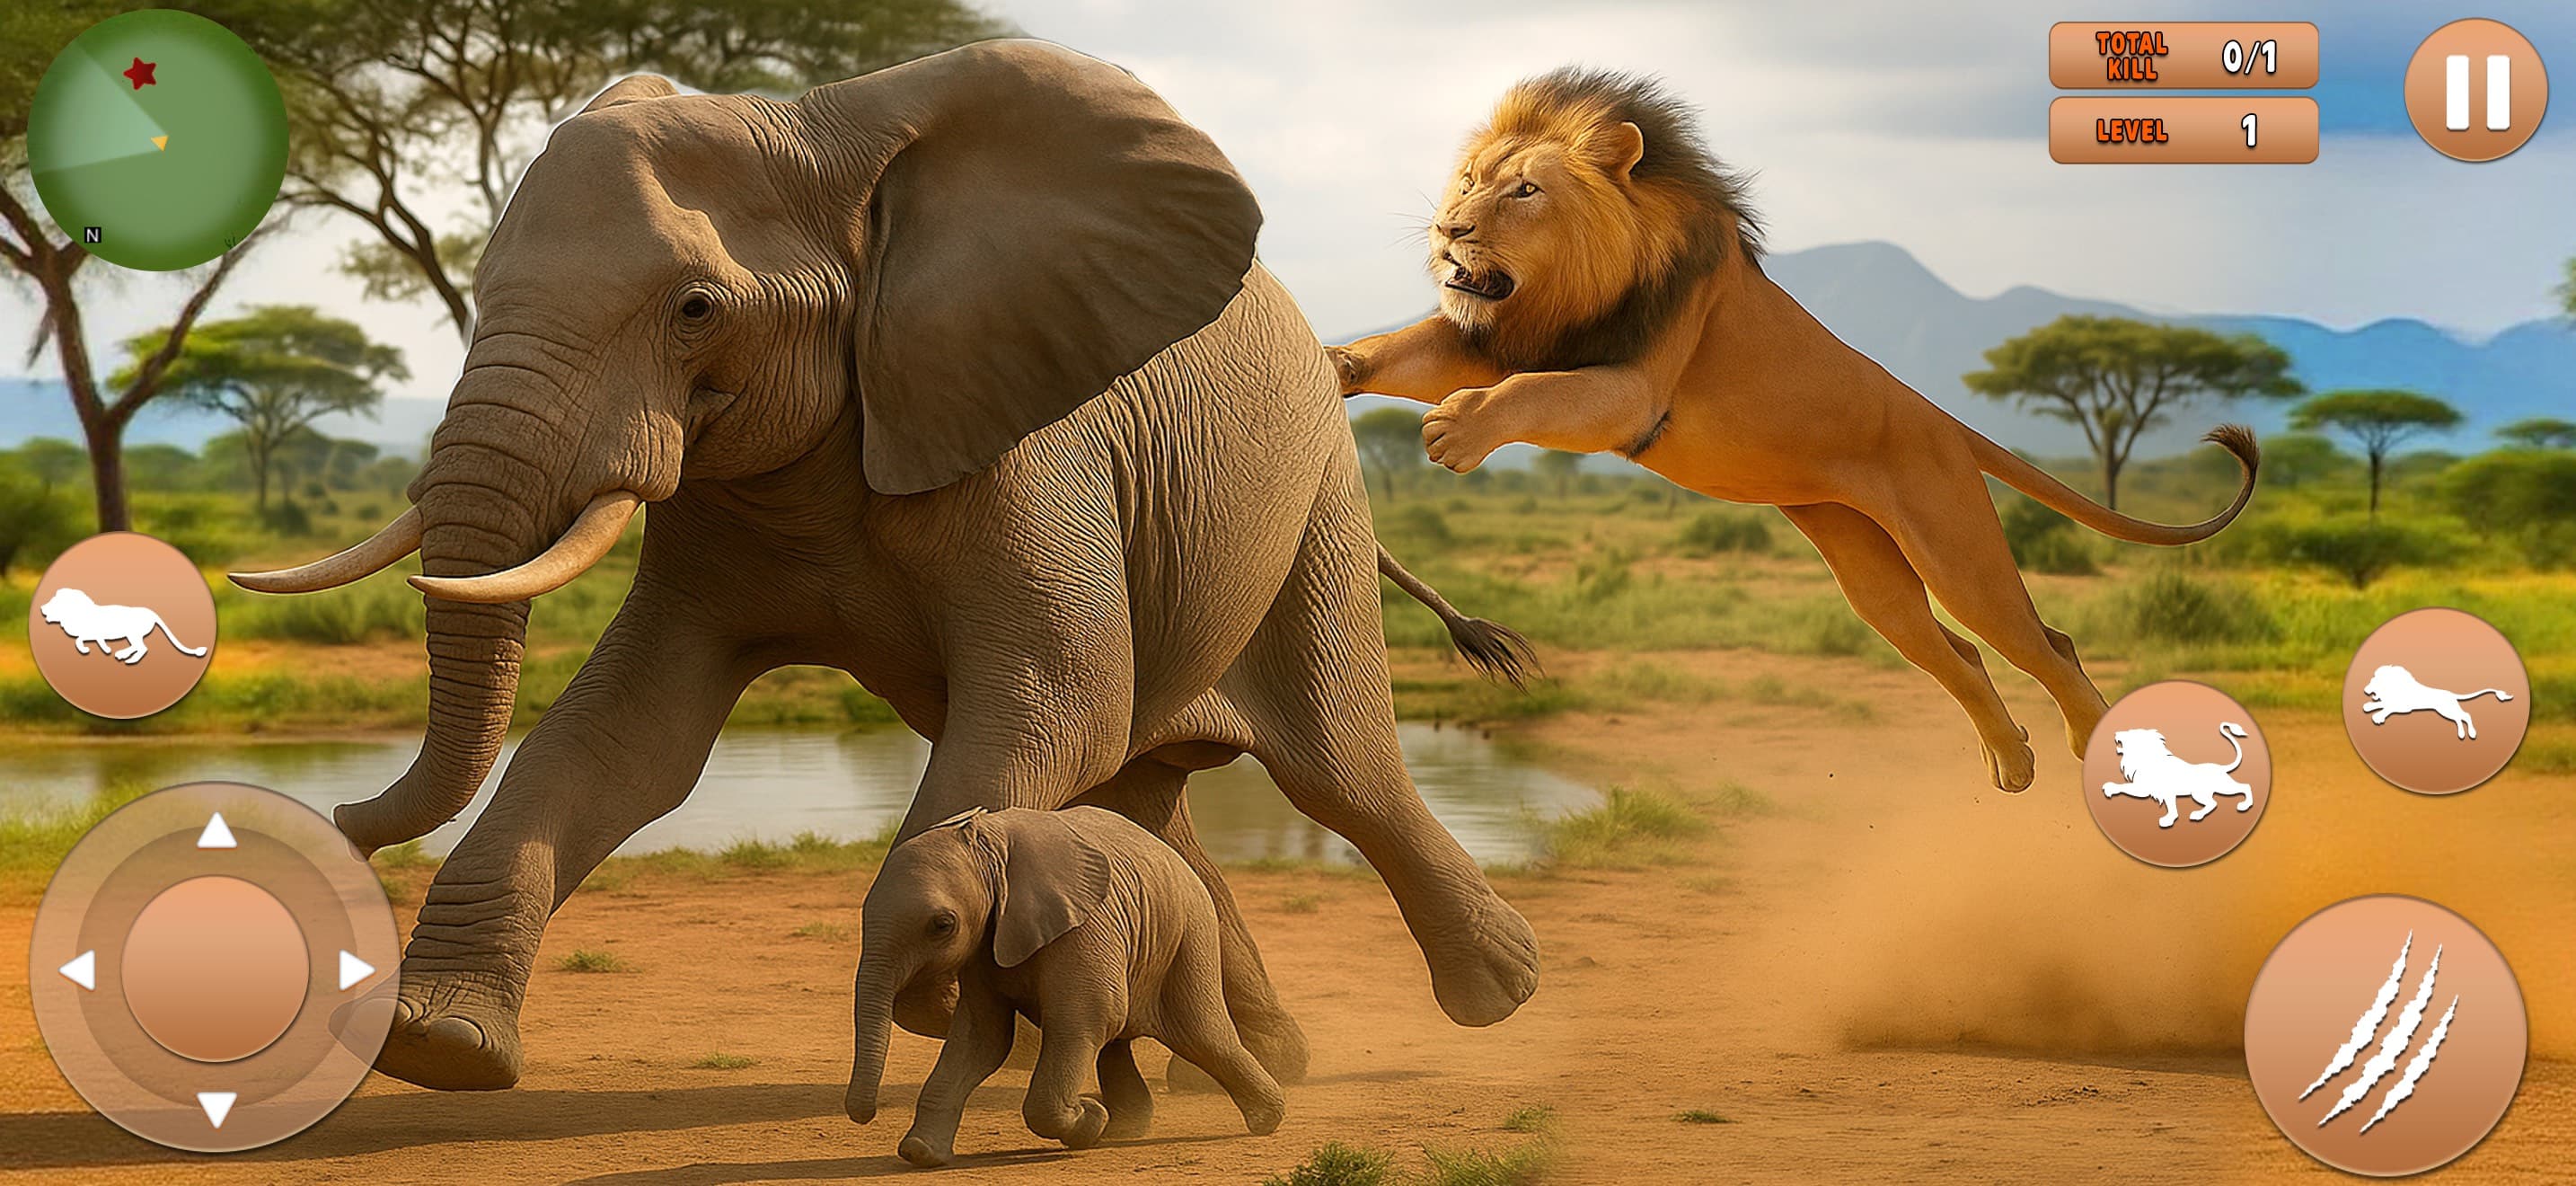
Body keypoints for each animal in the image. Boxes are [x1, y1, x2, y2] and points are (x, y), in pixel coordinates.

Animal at [38, 588, 210, 666]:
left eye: (55, 602)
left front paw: (91, 649)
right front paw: (105, 649)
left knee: (142, 648)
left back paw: (129, 659)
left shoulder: (93, 633)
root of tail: (151, 613)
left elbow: (79, 640)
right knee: (138, 647)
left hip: (133, 634)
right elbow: (83, 639)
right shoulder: (93, 634)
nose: (41, 608)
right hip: (131, 635)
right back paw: (122, 654)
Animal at [1329, 68, 2261, 792]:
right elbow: (1401, 350)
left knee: (2042, 640)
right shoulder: (1493, 338)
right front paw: (1335, 365)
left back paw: (2092, 749)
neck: (1568, 287)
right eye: (1467, 180)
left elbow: (1530, 395)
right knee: (1955, 651)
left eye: (1525, 190)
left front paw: (1457, 431)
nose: (1448, 229)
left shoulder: (1632, 389)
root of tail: (1937, 416)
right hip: (1863, 565)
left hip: (1955, 546)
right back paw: (2012, 761)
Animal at [2100, 723, 2255, 828]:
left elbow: (2125, 787)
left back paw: (2243, 806)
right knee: (2215, 802)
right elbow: (2171, 807)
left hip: (2217, 788)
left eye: (2131, 734)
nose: (2116, 733)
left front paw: (2110, 788)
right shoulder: (2157, 791)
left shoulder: (2148, 789)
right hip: (2203, 793)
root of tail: (2220, 768)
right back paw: (2198, 815)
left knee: (2244, 787)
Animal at [2361, 664, 2513, 740]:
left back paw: (2472, 734)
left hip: (2446, 710)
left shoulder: (2404, 707)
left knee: (2466, 716)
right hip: (2447, 711)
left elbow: (2387, 708)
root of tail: (2451, 694)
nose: (2365, 690)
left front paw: (2377, 717)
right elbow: (2381, 704)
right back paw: (2461, 735)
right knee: (2459, 718)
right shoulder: (2393, 702)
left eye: (2374, 681)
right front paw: (2368, 707)